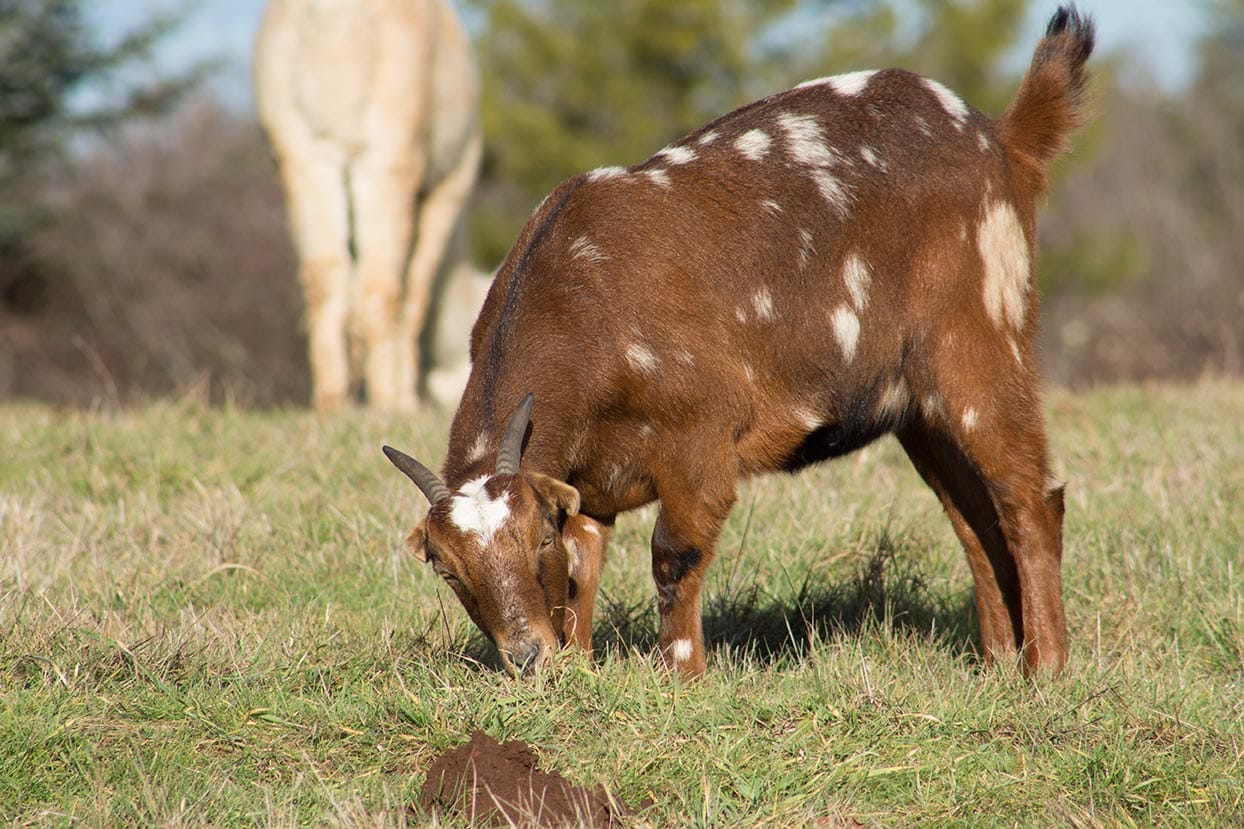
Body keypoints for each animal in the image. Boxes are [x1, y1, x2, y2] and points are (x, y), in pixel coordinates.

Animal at [383, 6, 1094, 677]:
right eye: (447, 569)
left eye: (535, 541)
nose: (527, 657)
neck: (583, 303)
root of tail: (999, 138)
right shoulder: (589, 476)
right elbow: (586, 563)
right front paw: (579, 670)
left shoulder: (701, 442)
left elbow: (674, 554)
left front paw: (682, 676)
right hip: (917, 408)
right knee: (973, 518)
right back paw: (997, 663)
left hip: (980, 342)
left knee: (1028, 500)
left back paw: (1046, 671)